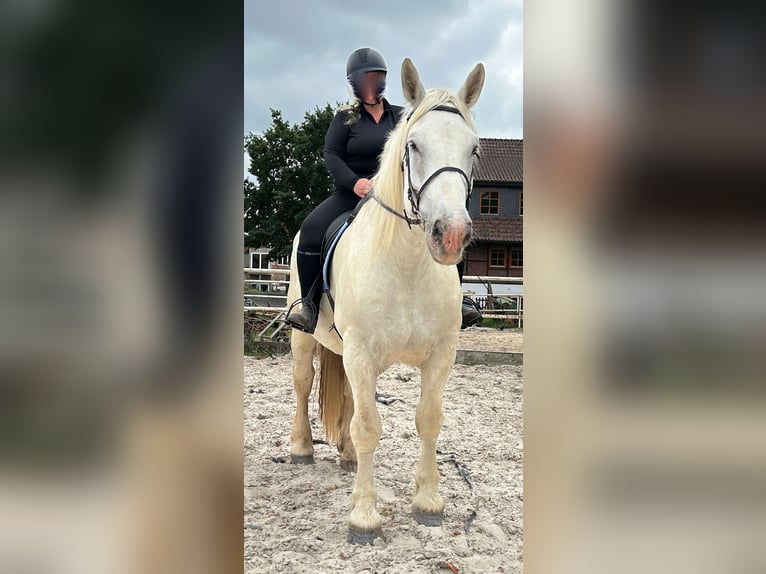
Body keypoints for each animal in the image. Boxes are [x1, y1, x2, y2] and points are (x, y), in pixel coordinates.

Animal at [286, 57, 485, 544]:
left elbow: (428, 419)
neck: (408, 266)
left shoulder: (440, 355)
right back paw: (302, 448)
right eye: (413, 145)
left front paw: (429, 503)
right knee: (303, 383)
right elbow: (367, 427)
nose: (450, 234)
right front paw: (363, 517)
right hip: (307, 341)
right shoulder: (360, 351)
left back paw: (347, 457)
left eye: (473, 149)